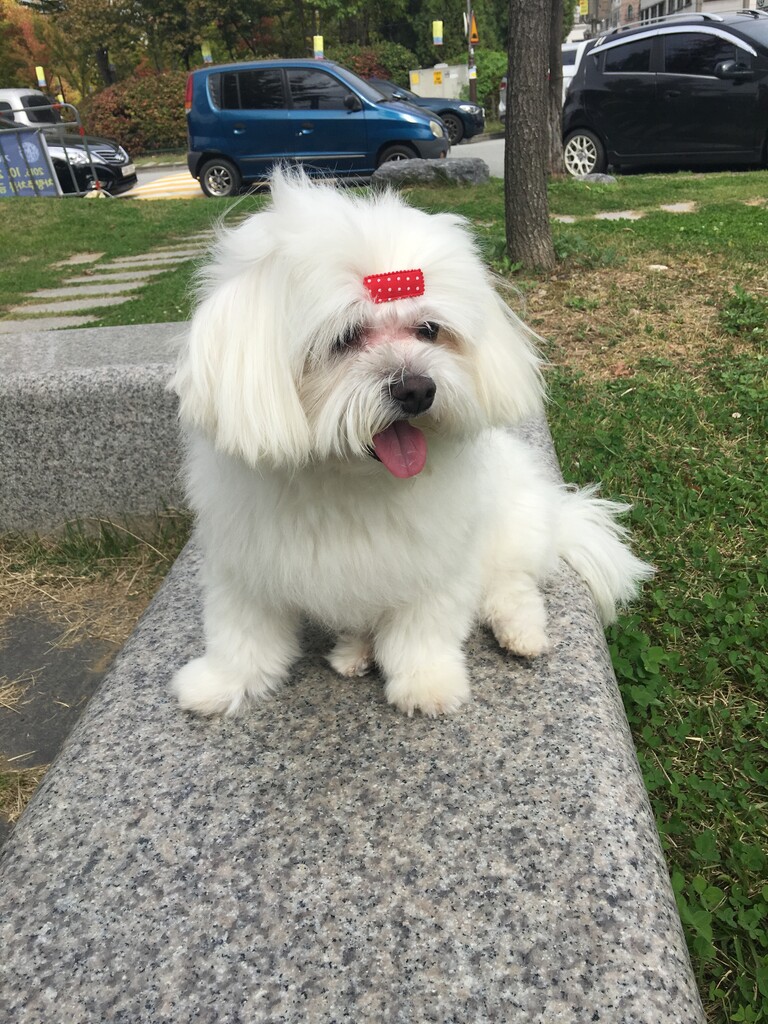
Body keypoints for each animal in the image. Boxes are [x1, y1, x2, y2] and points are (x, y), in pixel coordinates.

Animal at [170, 169, 652, 717]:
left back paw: (521, 632)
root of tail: (558, 511)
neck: (348, 483)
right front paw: (219, 683)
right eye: (344, 338)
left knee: (512, 585)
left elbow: (422, 632)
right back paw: (354, 650)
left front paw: (427, 684)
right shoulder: (245, 565)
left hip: (508, 533)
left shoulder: (434, 566)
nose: (418, 390)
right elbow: (240, 634)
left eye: (429, 329)